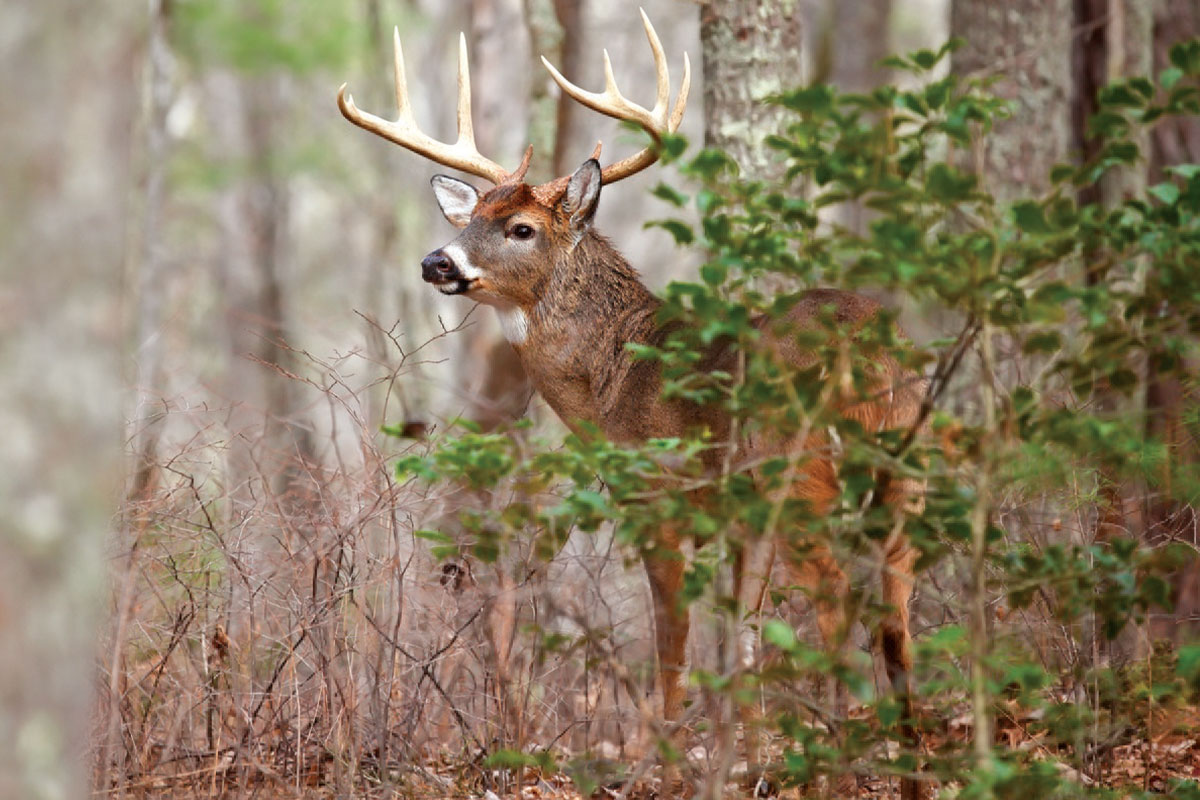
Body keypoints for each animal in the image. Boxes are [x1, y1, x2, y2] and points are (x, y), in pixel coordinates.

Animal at [343, 12, 921, 800]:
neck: (617, 377)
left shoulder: (662, 498)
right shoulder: (736, 523)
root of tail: (867, 352)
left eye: (521, 228)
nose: (438, 262)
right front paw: (740, 760)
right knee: (896, 610)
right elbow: (738, 637)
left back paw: (833, 767)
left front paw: (666, 766)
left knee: (837, 599)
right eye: (472, 217)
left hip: (795, 471)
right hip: (902, 465)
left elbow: (674, 643)